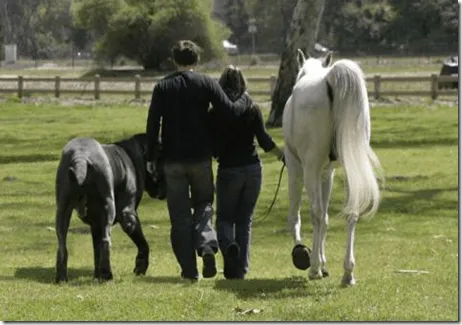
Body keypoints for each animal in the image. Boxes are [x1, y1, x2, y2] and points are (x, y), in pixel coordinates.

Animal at [54, 133, 164, 282]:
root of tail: (80, 157)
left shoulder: (95, 224)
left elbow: (97, 250)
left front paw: (97, 274)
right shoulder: (128, 216)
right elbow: (143, 244)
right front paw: (140, 267)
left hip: (62, 208)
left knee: (63, 246)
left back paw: (62, 277)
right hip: (109, 206)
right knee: (106, 241)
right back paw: (107, 275)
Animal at [282, 49, 382, 284]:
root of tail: (329, 79)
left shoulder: (296, 168)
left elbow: (297, 216)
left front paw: (306, 255)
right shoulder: (328, 173)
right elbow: (326, 218)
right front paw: (323, 262)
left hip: (309, 169)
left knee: (316, 214)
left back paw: (314, 268)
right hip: (350, 169)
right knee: (351, 212)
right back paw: (348, 272)